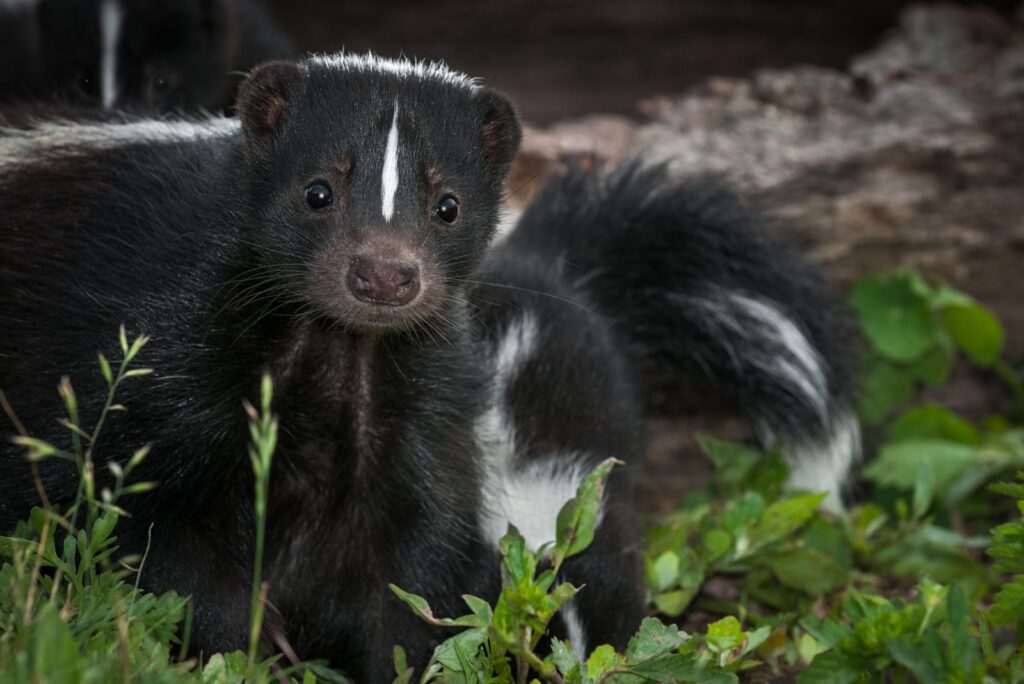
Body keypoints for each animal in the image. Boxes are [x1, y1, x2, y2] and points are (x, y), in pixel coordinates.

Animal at [0, 53, 856, 679]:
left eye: (447, 207)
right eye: (317, 192)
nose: (384, 275)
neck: (335, 351)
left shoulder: (413, 403)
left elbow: (402, 568)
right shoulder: (160, 345)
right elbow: (153, 528)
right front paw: (237, 650)